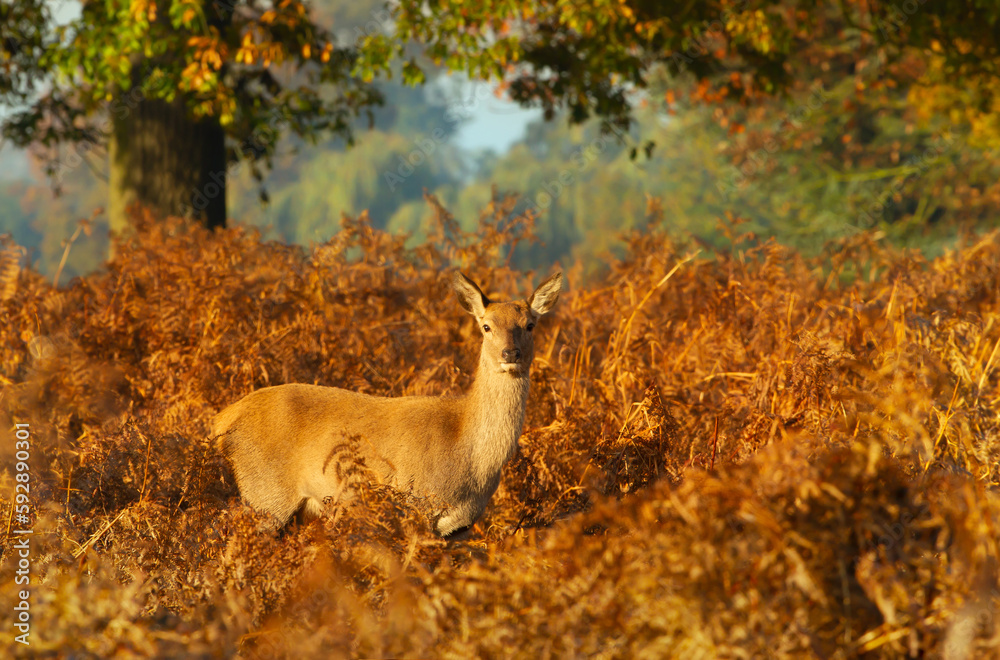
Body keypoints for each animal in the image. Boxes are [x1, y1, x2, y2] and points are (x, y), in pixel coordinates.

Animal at [212, 271, 563, 536]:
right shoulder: (417, 506)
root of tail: (222, 419)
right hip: (266, 494)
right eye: (486, 326)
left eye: (530, 325)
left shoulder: (459, 528)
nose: (510, 353)